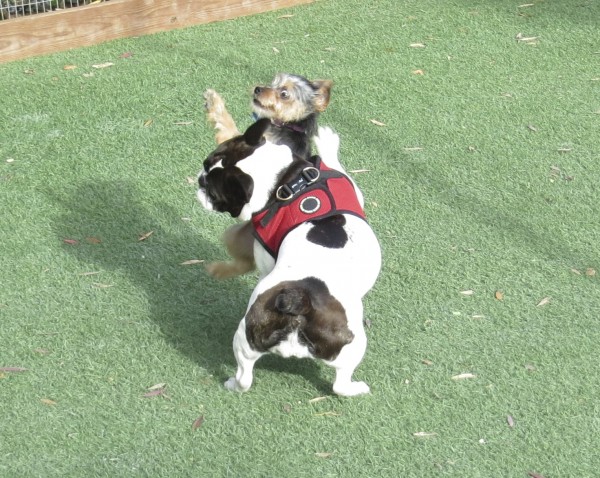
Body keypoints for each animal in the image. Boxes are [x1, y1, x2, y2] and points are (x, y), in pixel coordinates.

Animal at [198, 118, 384, 396]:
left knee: (245, 376)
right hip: (351, 343)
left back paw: (232, 383)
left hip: (248, 336)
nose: (199, 181)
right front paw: (328, 142)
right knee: (338, 384)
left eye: (215, 193)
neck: (284, 182)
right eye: (206, 166)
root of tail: (300, 301)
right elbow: (337, 164)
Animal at [204, 73, 336, 278]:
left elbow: (229, 127)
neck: (287, 126)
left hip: (235, 235)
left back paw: (217, 270)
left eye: (284, 93)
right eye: (272, 82)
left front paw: (215, 102)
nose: (258, 88)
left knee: (247, 263)